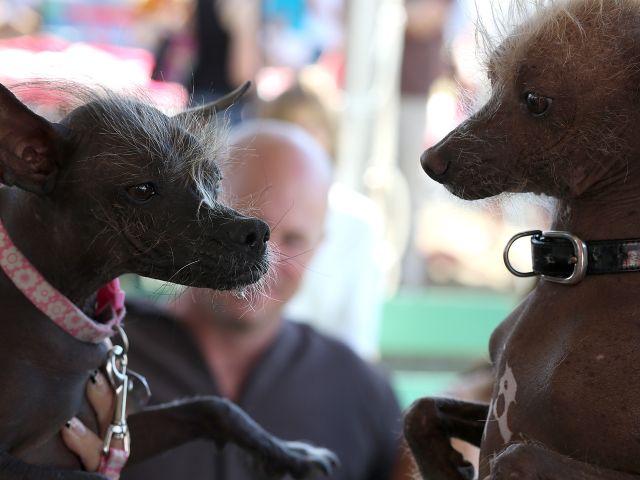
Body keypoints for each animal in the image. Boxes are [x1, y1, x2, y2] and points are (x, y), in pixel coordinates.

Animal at [0, 80, 338, 478]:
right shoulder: (25, 461)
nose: (257, 232)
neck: (54, 301)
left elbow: (212, 407)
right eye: (142, 190)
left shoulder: (116, 432)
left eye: (215, 180)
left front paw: (290, 454)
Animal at [408, 0, 640, 480]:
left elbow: (514, 457)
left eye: (536, 101)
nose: (430, 160)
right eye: (492, 78)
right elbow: (419, 409)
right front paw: (444, 464)